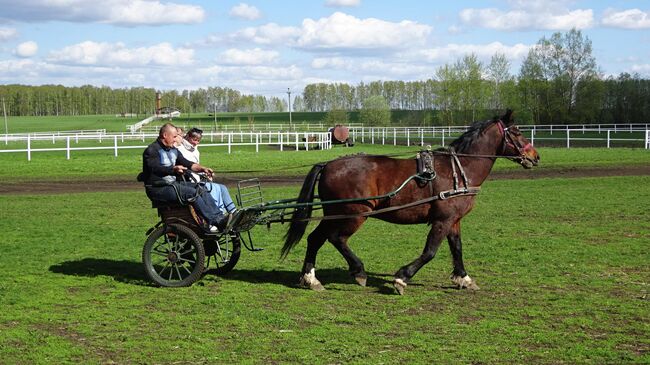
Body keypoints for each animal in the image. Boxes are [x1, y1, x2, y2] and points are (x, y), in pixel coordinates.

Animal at [280, 109, 540, 294]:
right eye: (517, 132)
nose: (535, 156)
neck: (459, 169)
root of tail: (328, 164)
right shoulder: (442, 220)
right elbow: (430, 252)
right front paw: (402, 278)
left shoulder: (453, 220)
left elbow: (457, 248)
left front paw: (464, 278)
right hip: (353, 214)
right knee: (337, 238)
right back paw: (358, 271)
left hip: (334, 213)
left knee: (315, 239)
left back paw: (311, 279)